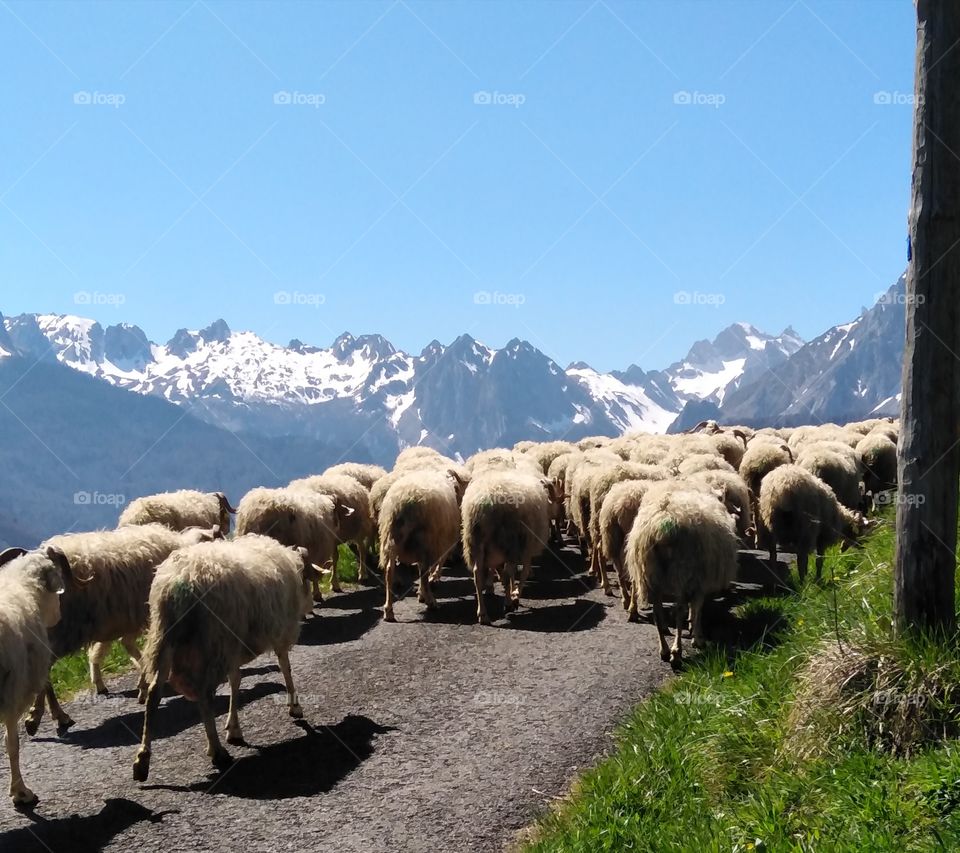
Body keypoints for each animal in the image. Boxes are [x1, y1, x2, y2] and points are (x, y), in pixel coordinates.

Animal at [132, 535, 318, 782]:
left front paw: (233, 728)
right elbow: (284, 666)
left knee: (154, 693)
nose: (311, 604)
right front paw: (295, 706)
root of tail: (181, 579)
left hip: (165, 638)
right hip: (212, 641)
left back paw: (142, 761)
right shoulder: (278, 632)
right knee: (204, 695)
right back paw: (217, 751)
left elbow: (236, 681)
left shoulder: (233, 647)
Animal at [378, 471, 461, 622]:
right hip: (425, 540)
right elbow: (436, 565)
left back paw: (388, 611)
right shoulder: (441, 541)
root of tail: (403, 500)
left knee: (389, 572)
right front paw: (424, 592)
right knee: (423, 572)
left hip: (390, 538)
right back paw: (431, 601)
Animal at [461, 470, 552, 624]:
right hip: (509, 540)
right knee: (507, 572)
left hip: (476, 543)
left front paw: (511, 592)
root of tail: (483, 503)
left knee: (477, 575)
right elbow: (522, 573)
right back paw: (508, 603)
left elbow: (506, 576)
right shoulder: (525, 548)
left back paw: (483, 614)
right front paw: (515, 596)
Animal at [626, 485, 739, 666]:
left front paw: (694, 632)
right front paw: (697, 637)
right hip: (681, 572)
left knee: (657, 612)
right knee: (678, 611)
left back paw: (664, 650)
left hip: (650, 573)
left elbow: (695, 608)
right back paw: (676, 652)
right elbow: (697, 608)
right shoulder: (700, 581)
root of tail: (661, 524)